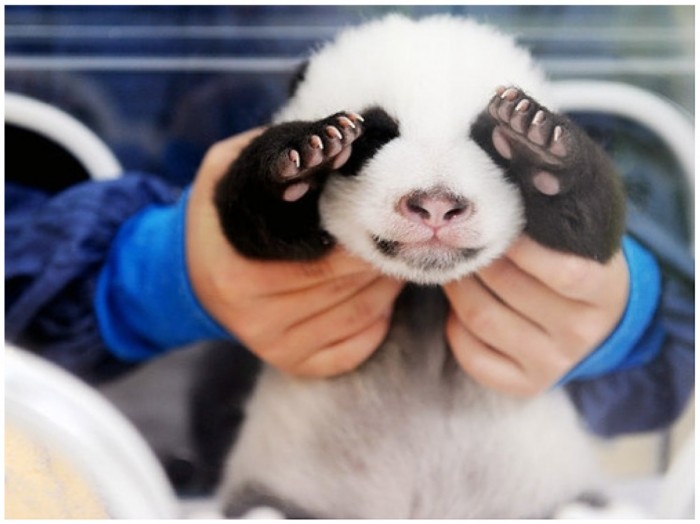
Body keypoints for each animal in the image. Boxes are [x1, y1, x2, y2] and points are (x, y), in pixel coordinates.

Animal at [209, 14, 625, 519]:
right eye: (371, 136)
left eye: (489, 142)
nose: (436, 205)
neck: (424, 287)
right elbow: (248, 220)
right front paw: (303, 157)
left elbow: (593, 229)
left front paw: (539, 143)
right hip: (277, 489)